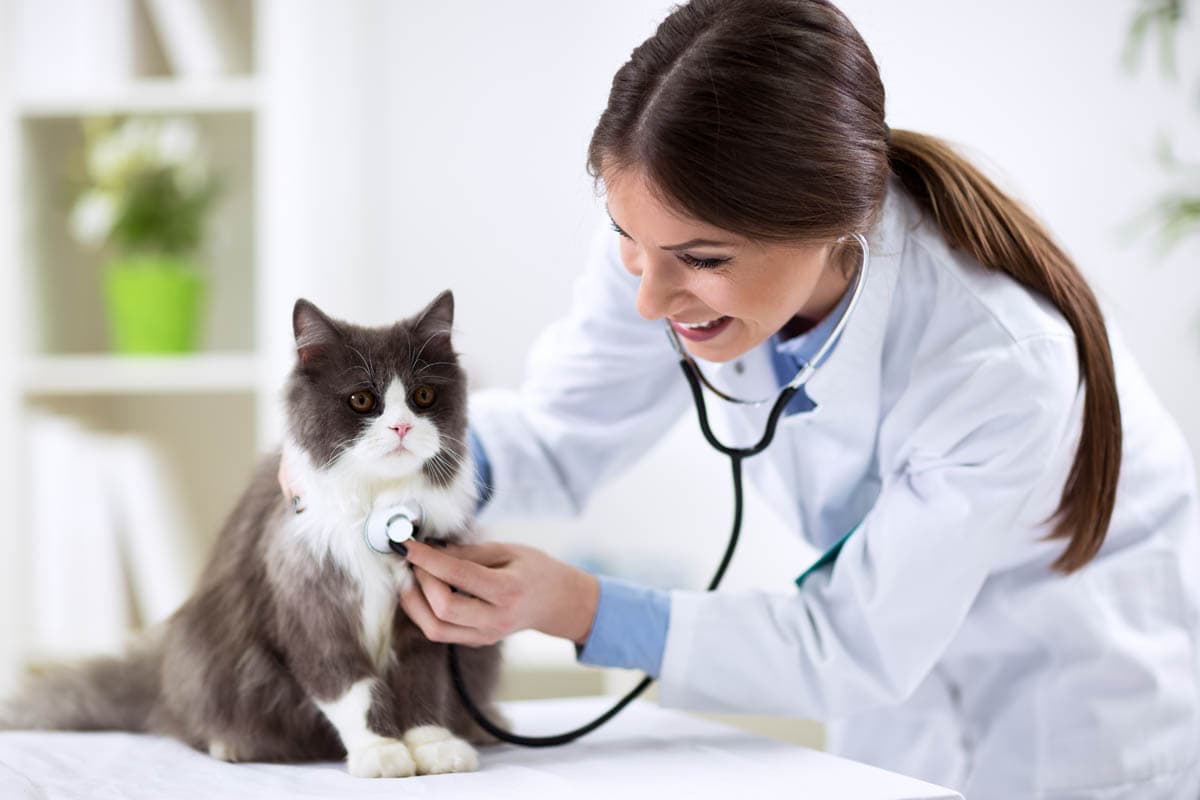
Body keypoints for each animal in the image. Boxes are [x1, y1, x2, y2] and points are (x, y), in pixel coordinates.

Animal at [0, 291, 506, 777]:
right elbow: (352, 688)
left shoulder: (424, 619)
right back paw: (230, 744)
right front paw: (380, 751)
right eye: (362, 401)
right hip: (209, 658)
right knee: (186, 720)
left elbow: (424, 682)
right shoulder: (311, 609)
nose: (401, 426)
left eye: (423, 395)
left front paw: (435, 745)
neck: (379, 509)